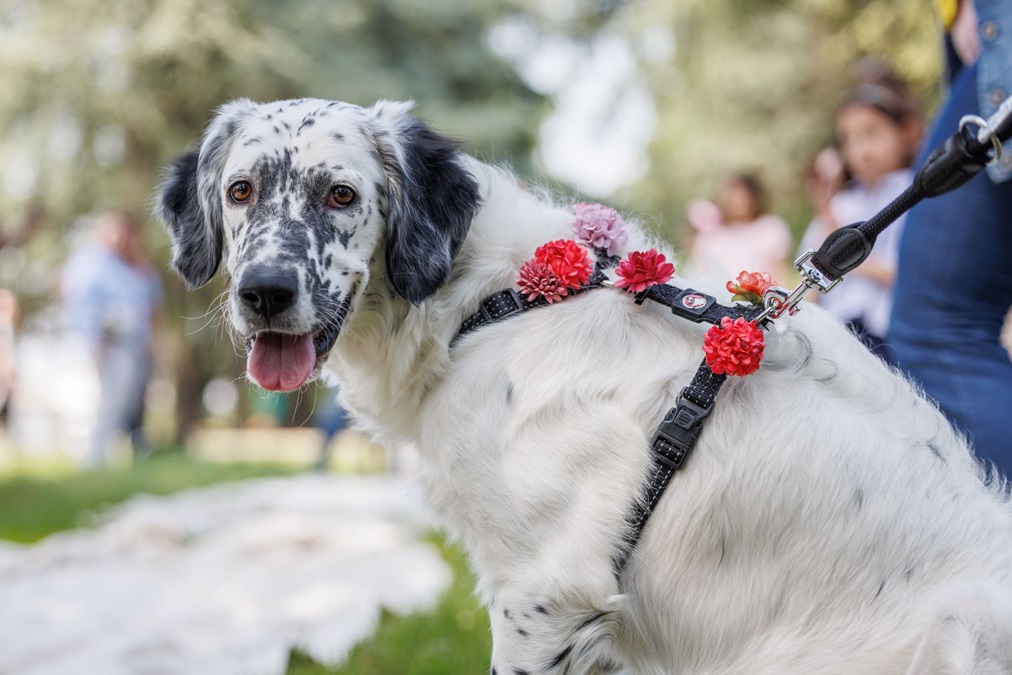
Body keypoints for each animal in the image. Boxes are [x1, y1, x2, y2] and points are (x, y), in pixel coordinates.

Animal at [155, 96, 1011, 675]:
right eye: (239, 190)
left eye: (340, 194)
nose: (264, 292)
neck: (491, 302)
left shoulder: (546, 593)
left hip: (953, 626)